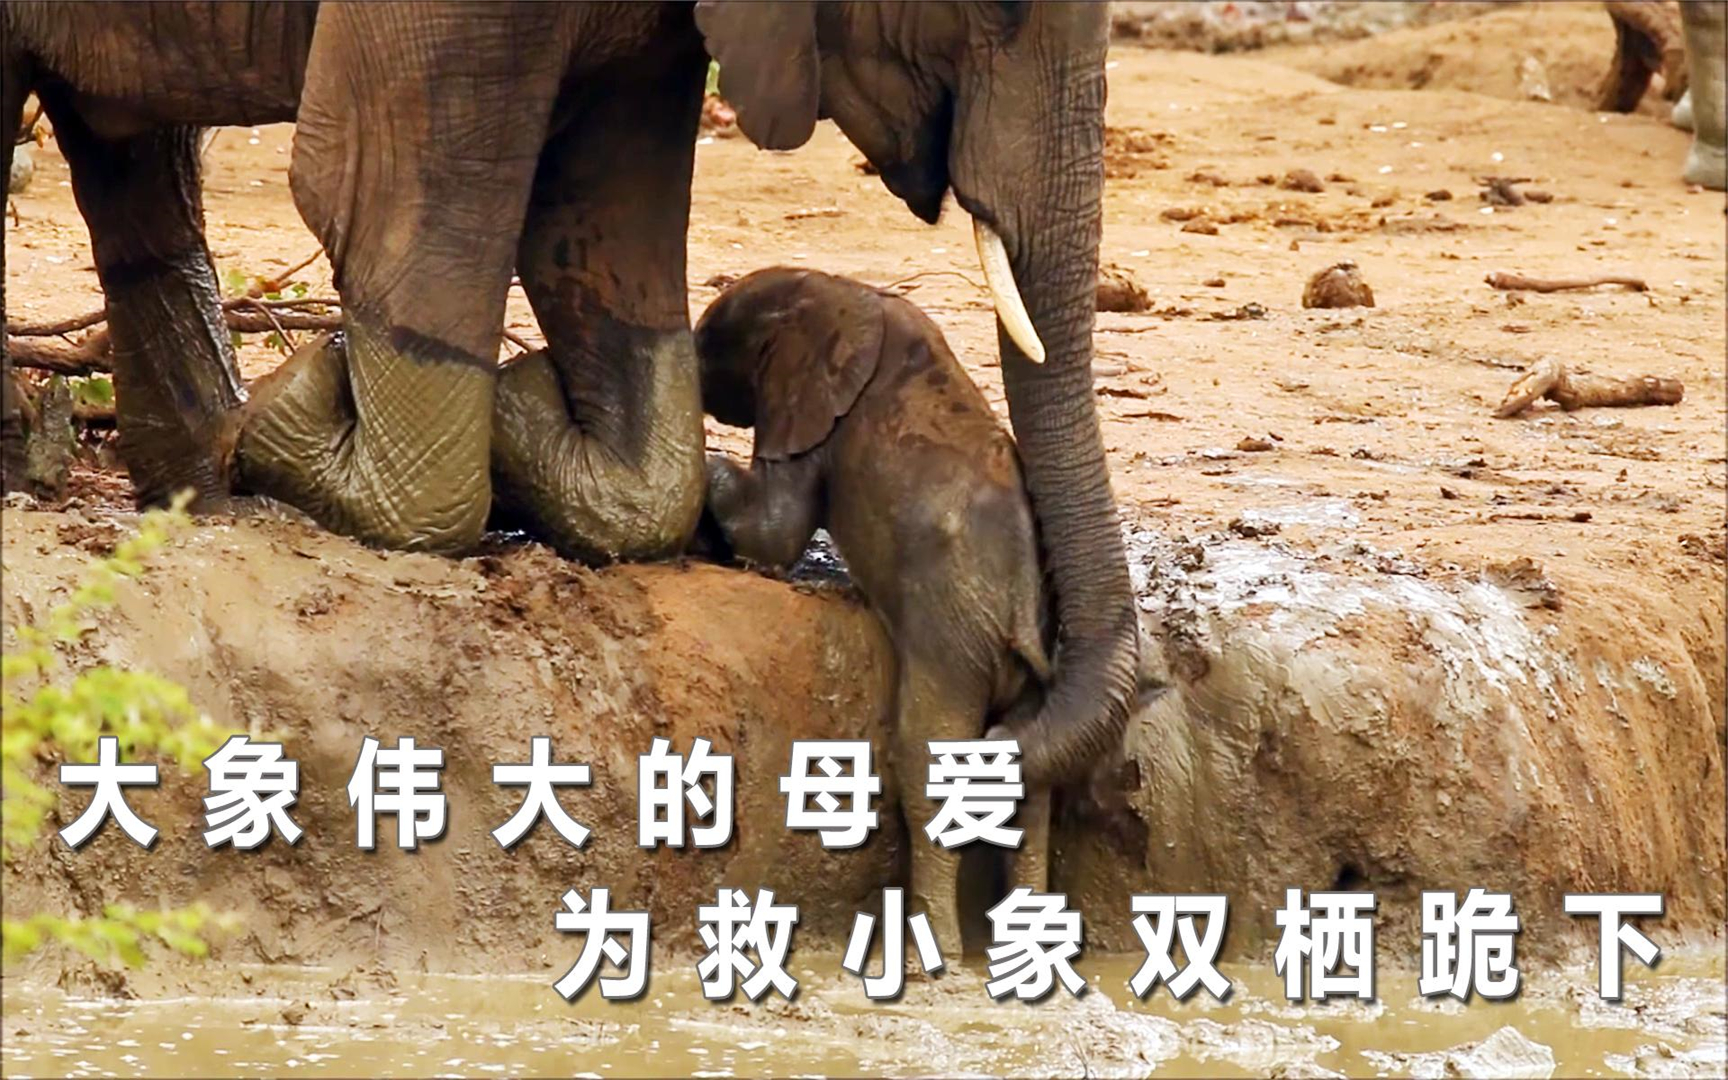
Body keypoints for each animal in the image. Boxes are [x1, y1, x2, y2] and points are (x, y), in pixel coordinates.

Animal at [3, 1, 1143, 781]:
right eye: (1000, 9)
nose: (1014, 713)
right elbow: (395, 219)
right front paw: (307, 400)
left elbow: (603, 229)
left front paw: (527, 406)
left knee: (133, 162)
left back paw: (199, 489)